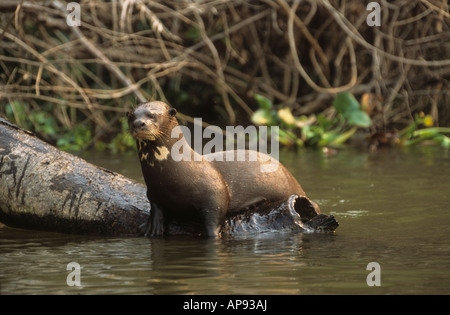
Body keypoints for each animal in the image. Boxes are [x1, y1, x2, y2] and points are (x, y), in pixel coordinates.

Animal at [128, 101, 326, 237]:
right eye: (130, 116)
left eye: (152, 115)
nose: (138, 123)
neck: (169, 173)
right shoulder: (154, 191)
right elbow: (155, 205)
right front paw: (152, 226)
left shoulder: (213, 192)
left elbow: (215, 214)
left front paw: (214, 234)